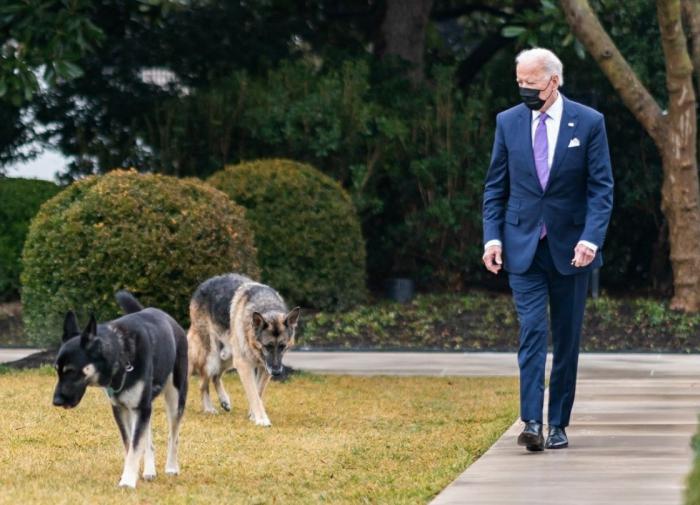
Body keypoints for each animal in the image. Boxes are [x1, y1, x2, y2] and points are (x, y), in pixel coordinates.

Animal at [52, 292, 189, 488]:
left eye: (70, 371)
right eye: (56, 370)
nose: (56, 401)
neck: (120, 354)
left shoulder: (140, 408)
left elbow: (135, 446)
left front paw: (128, 481)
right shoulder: (122, 409)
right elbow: (130, 444)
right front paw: (132, 474)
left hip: (175, 398)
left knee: (174, 436)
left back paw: (171, 467)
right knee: (148, 439)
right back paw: (149, 471)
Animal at [187, 274, 300, 424]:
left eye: (283, 346)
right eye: (268, 346)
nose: (276, 372)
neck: (266, 306)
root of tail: (203, 284)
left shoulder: (264, 369)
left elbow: (258, 392)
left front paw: (253, 415)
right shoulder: (245, 365)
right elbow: (253, 394)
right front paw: (261, 419)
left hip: (228, 357)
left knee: (215, 377)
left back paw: (224, 400)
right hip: (213, 357)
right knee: (202, 382)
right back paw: (208, 408)